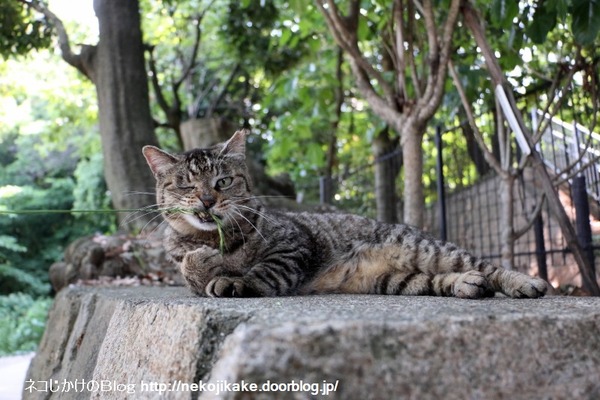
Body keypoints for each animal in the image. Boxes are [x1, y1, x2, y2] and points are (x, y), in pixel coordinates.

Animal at [142, 130, 548, 298]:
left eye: (223, 181)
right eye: (186, 186)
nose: (207, 201)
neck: (211, 234)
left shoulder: (293, 244)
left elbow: (263, 272)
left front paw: (230, 275)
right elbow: (190, 269)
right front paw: (208, 260)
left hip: (432, 250)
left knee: (488, 267)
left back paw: (525, 283)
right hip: (397, 280)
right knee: (445, 280)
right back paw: (466, 285)